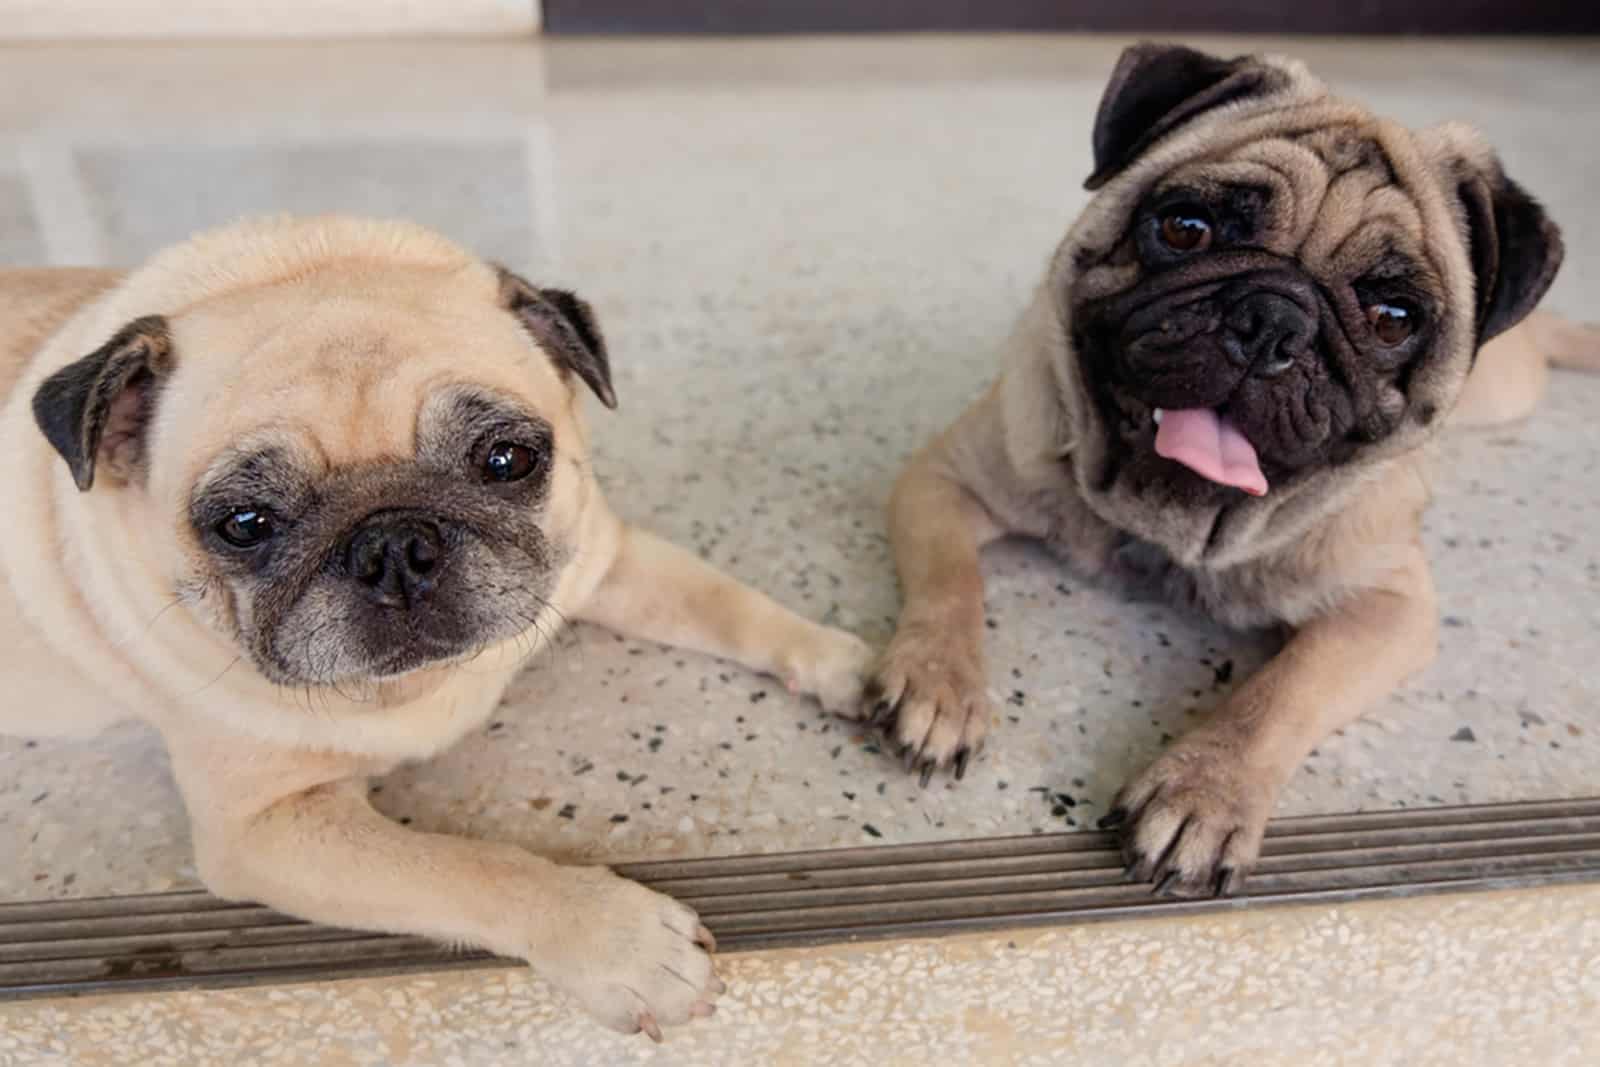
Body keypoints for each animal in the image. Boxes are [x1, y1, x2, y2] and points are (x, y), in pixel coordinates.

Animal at [0, 212, 876, 1036]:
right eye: (244, 524)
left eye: (508, 460)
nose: (393, 544)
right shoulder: (265, 825)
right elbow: (466, 867)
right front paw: (617, 938)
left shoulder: (599, 557)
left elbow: (727, 602)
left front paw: (843, 663)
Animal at [864, 43, 1587, 895]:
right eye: (1185, 228)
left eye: (1393, 317)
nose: (1273, 315)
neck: (1167, 520)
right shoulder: (946, 478)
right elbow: (952, 587)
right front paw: (940, 683)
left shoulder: (1387, 607)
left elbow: (1284, 690)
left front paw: (1204, 789)